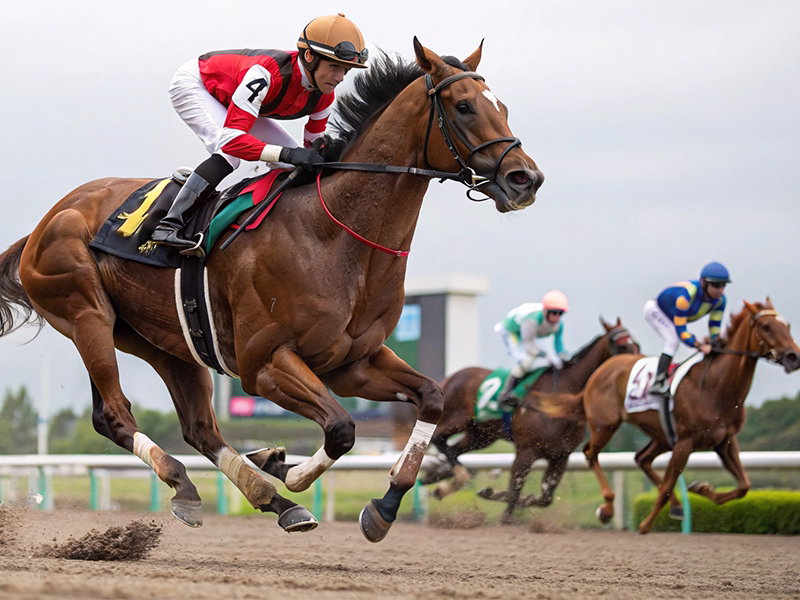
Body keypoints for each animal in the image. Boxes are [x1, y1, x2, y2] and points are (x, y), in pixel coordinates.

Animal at [0, 40, 543, 543]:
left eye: (502, 106)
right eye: (464, 106)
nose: (526, 178)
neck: (336, 235)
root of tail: (46, 221)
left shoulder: (352, 363)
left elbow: (429, 398)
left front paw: (382, 506)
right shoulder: (263, 364)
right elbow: (342, 428)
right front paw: (286, 466)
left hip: (164, 340)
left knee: (197, 427)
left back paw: (258, 497)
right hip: (86, 314)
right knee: (115, 414)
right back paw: (212, 484)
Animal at [420, 318, 639, 520]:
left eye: (637, 345)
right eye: (622, 345)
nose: (635, 372)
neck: (561, 399)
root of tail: (448, 379)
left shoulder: (561, 455)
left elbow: (545, 497)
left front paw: (491, 493)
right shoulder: (526, 451)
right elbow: (515, 491)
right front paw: (502, 512)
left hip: (481, 435)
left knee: (454, 449)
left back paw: (438, 480)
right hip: (455, 420)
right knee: (438, 438)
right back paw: (454, 478)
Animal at [581, 299, 800, 533]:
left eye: (787, 325)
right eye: (766, 326)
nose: (794, 357)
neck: (715, 387)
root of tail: (604, 366)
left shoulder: (725, 441)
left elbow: (744, 486)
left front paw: (701, 489)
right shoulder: (685, 443)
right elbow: (667, 487)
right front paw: (645, 525)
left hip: (661, 436)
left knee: (641, 458)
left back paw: (676, 505)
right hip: (605, 425)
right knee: (590, 453)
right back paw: (606, 508)